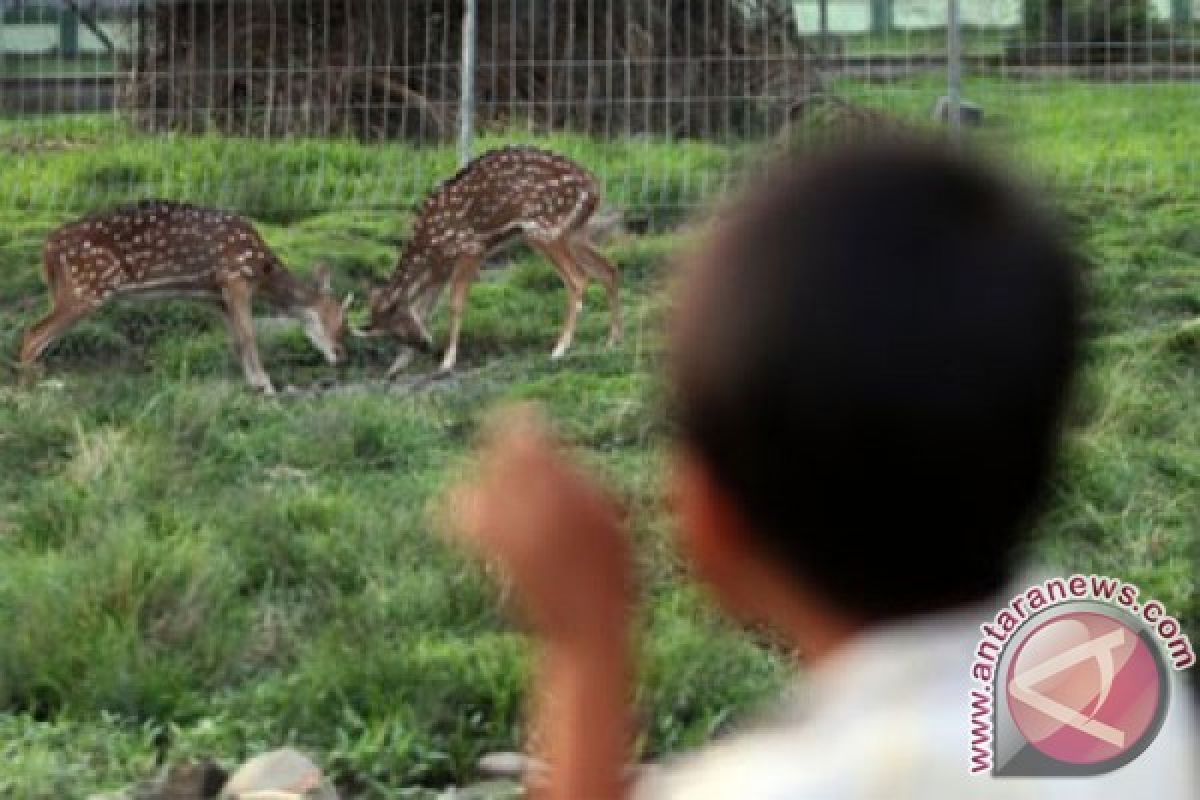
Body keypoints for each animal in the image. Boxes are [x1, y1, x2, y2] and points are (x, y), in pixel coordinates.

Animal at [18, 200, 350, 393]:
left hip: (72, 289)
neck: (260, 268)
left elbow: (236, 339)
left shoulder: (216, 294)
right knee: (33, 333)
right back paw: (34, 389)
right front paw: (265, 385)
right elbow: (249, 335)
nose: (343, 356)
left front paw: (253, 381)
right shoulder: (234, 277)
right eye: (340, 320)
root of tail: (47, 248)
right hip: (86, 288)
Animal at [352, 144, 619, 376]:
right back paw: (612, 341)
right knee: (608, 268)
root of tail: (594, 187)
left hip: (543, 228)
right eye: (393, 334)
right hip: (572, 231)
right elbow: (426, 307)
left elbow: (455, 303)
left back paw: (560, 349)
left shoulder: (472, 248)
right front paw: (396, 368)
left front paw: (447, 362)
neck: (432, 246)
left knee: (578, 279)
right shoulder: (441, 269)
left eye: (399, 325)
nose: (425, 346)